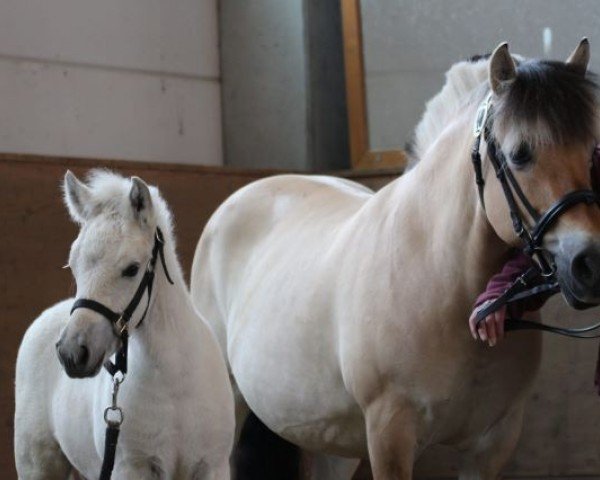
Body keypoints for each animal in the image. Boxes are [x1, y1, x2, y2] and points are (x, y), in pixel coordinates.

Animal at [14, 172, 234, 480]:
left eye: (132, 269)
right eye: (73, 266)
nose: (72, 352)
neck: (175, 384)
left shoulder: (213, 466)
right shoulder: (131, 468)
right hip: (37, 464)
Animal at [191, 42, 600, 480]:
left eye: (592, 151)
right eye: (521, 154)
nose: (589, 263)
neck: (443, 279)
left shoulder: (492, 443)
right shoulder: (390, 434)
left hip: (329, 439)